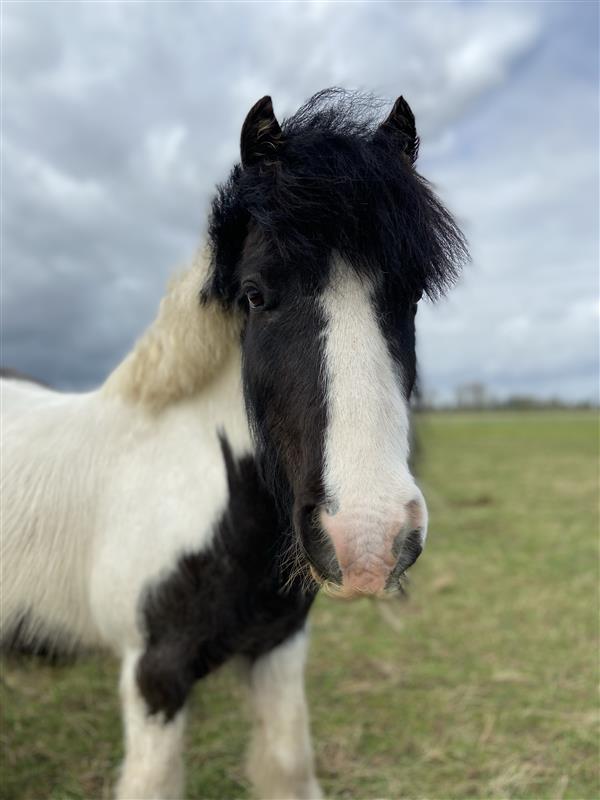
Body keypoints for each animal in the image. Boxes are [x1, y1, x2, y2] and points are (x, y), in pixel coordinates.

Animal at [1, 89, 467, 799]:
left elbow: (286, 767)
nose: (370, 541)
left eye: (411, 294)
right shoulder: (155, 677)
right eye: (254, 294)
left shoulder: (278, 648)